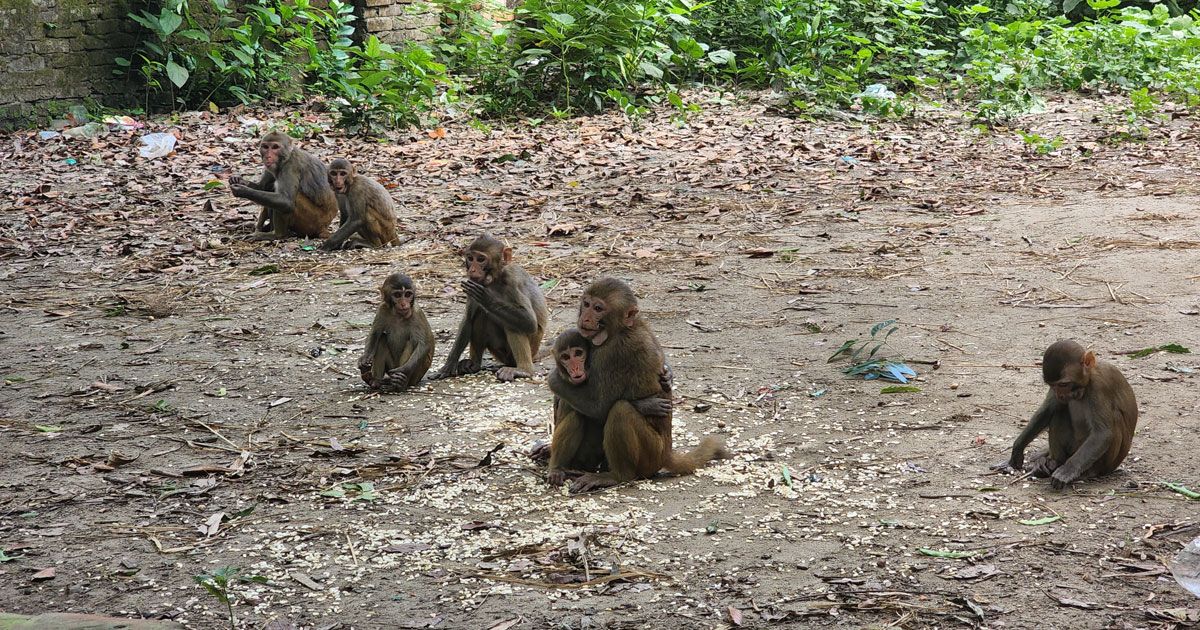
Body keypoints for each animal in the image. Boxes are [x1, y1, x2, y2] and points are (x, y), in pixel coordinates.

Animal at [429, 234, 547, 384]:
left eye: (480, 259)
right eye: (470, 258)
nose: (472, 269)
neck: (495, 279)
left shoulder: (513, 279)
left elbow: (529, 321)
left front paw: (486, 298)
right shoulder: (473, 282)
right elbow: (468, 320)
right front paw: (448, 365)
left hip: (532, 347)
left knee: (514, 325)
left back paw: (523, 370)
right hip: (499, 352)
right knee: (480, 317)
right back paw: (474, 364)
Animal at [547, 277, 729, 494]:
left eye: (598, 308)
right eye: (587, 304)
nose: (586, 318)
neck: (622, 329)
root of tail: (666, 452)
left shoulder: (612, 353)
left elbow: (599, 407)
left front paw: (553, 378)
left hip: (651, 454)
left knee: (620, 410)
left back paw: (615, 476)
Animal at [988, 340, 1137, 489]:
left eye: (1064, 384)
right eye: (1053, 385)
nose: (1060, 395)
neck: (1088, 381)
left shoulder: (1099, 387)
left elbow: (1103, 433)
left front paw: (1068, 470)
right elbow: (1047, 412)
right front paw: (1017, 449)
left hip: (1106, 464)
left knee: (1114, 418)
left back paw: (1087, 472)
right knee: (1059, 411)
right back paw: (1052, 464)